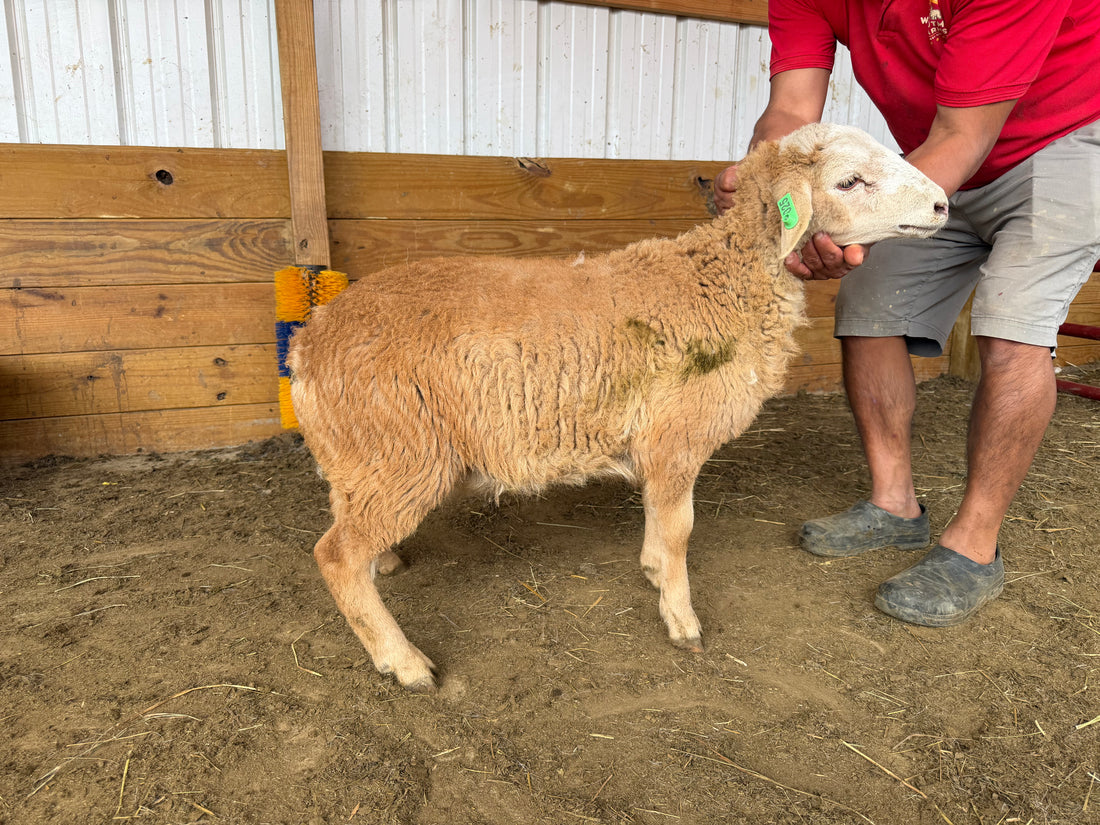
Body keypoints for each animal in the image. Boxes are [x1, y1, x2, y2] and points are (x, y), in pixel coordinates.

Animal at [286, 122, 949, 692]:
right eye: (850, 182)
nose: (944, 205)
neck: (722, 282)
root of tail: (309, 343)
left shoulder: (661, 447)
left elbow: (662, 529)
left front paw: (655, 576)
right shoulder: (676, 438)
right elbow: (679, 531)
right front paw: (681, 619)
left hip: (365, 459)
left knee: (347, 529)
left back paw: (385, 565)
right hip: (402, 454)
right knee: (334, 556)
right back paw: (402, 662)